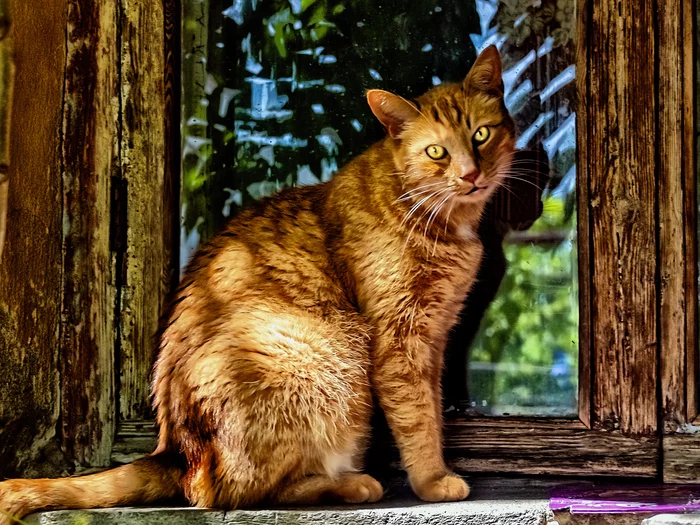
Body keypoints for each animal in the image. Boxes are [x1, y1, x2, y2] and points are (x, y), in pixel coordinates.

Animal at [0, 47, 516, 520]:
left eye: (481, 135)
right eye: (437, 151)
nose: (471, 174)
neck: (437, 216)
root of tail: (172, 453)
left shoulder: (436, 335)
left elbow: (432, 409)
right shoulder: (400, 341)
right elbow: (417, 420)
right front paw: (433, 480)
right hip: (323, 360)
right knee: (233, 494)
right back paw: (351, 484)